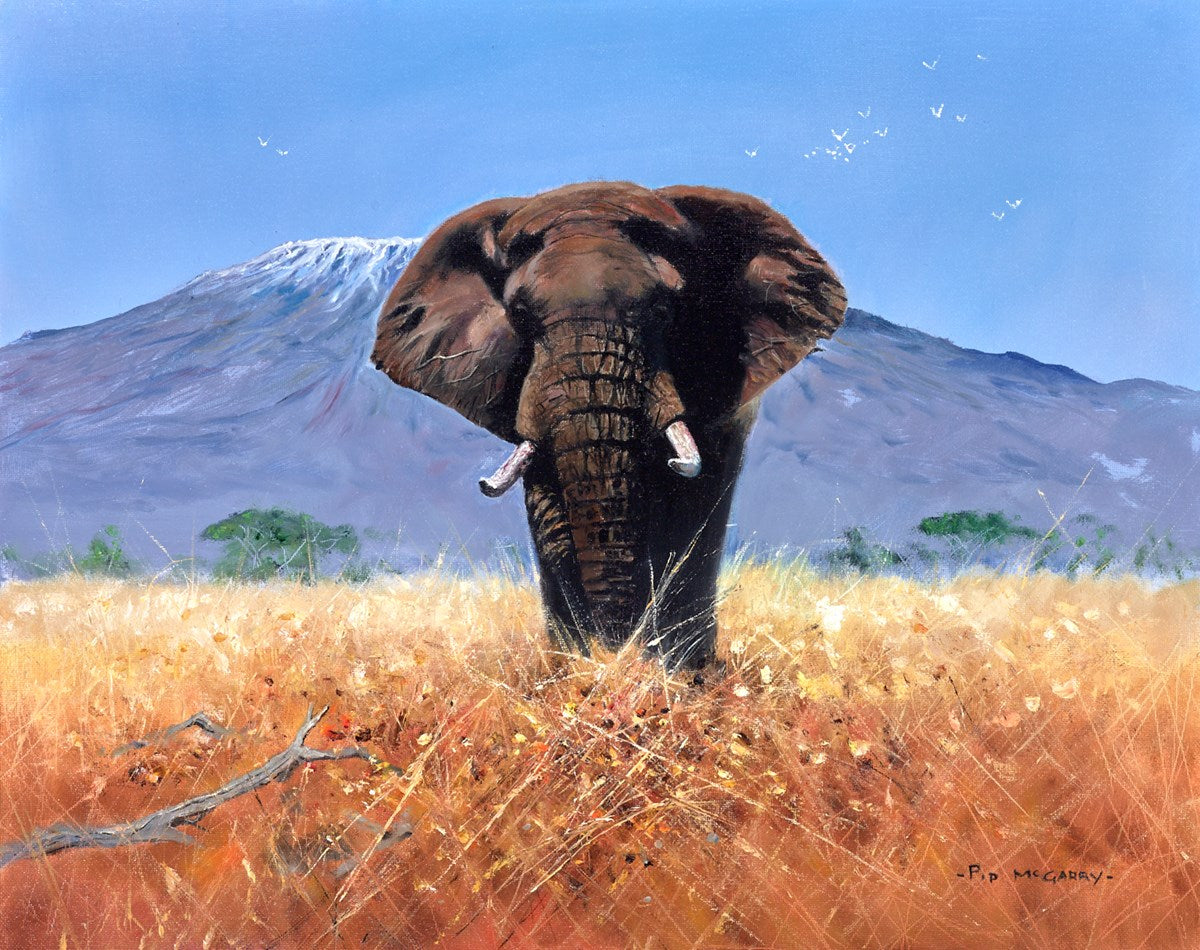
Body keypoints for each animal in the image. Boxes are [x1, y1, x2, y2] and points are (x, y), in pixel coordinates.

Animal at [372, 182, 846, 669]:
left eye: (664, 311)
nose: (613, 649)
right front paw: (575, 665)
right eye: (520, 316)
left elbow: (692, 507)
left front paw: (671, 670)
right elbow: (551, 517)